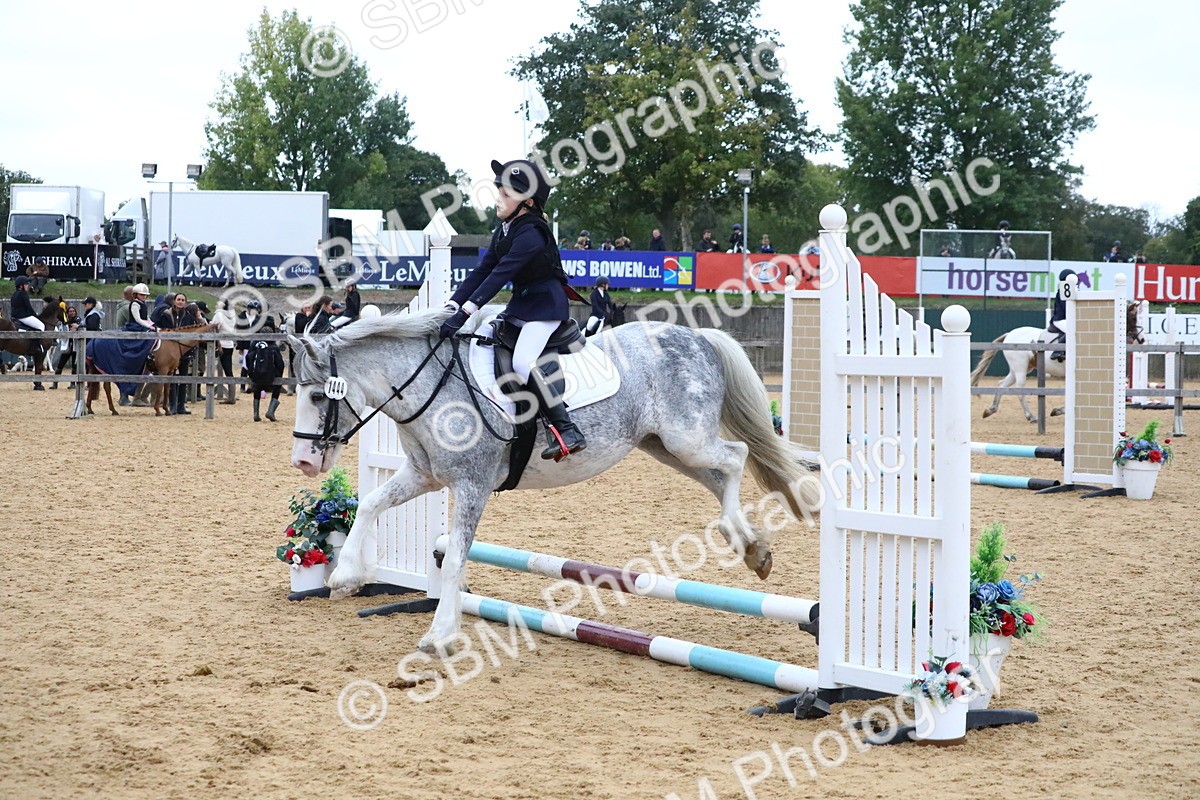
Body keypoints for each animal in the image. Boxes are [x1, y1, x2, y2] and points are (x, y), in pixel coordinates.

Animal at [288, 309, 818, 655]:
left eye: (317, 395)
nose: (303, 463)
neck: (433, 384)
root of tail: (697, 336)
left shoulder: (473, 484)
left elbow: (455, 556)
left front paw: (440, 637)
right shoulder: (423, 475)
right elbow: (373, 502)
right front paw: (346, 576)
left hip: (686, 439)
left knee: (737, 457)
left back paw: (746, 542)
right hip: (665, 446)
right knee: (720, 473)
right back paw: (753, 548)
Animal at [970, 301, 1144, 421]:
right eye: (1133, 317)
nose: (1141, 339)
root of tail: (1010, 334)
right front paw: (1057, 411)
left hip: (1019, 368)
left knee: (1002, 385)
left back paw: (990, 410)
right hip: (1020, 368)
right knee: (1020, 391)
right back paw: (1031, 416)